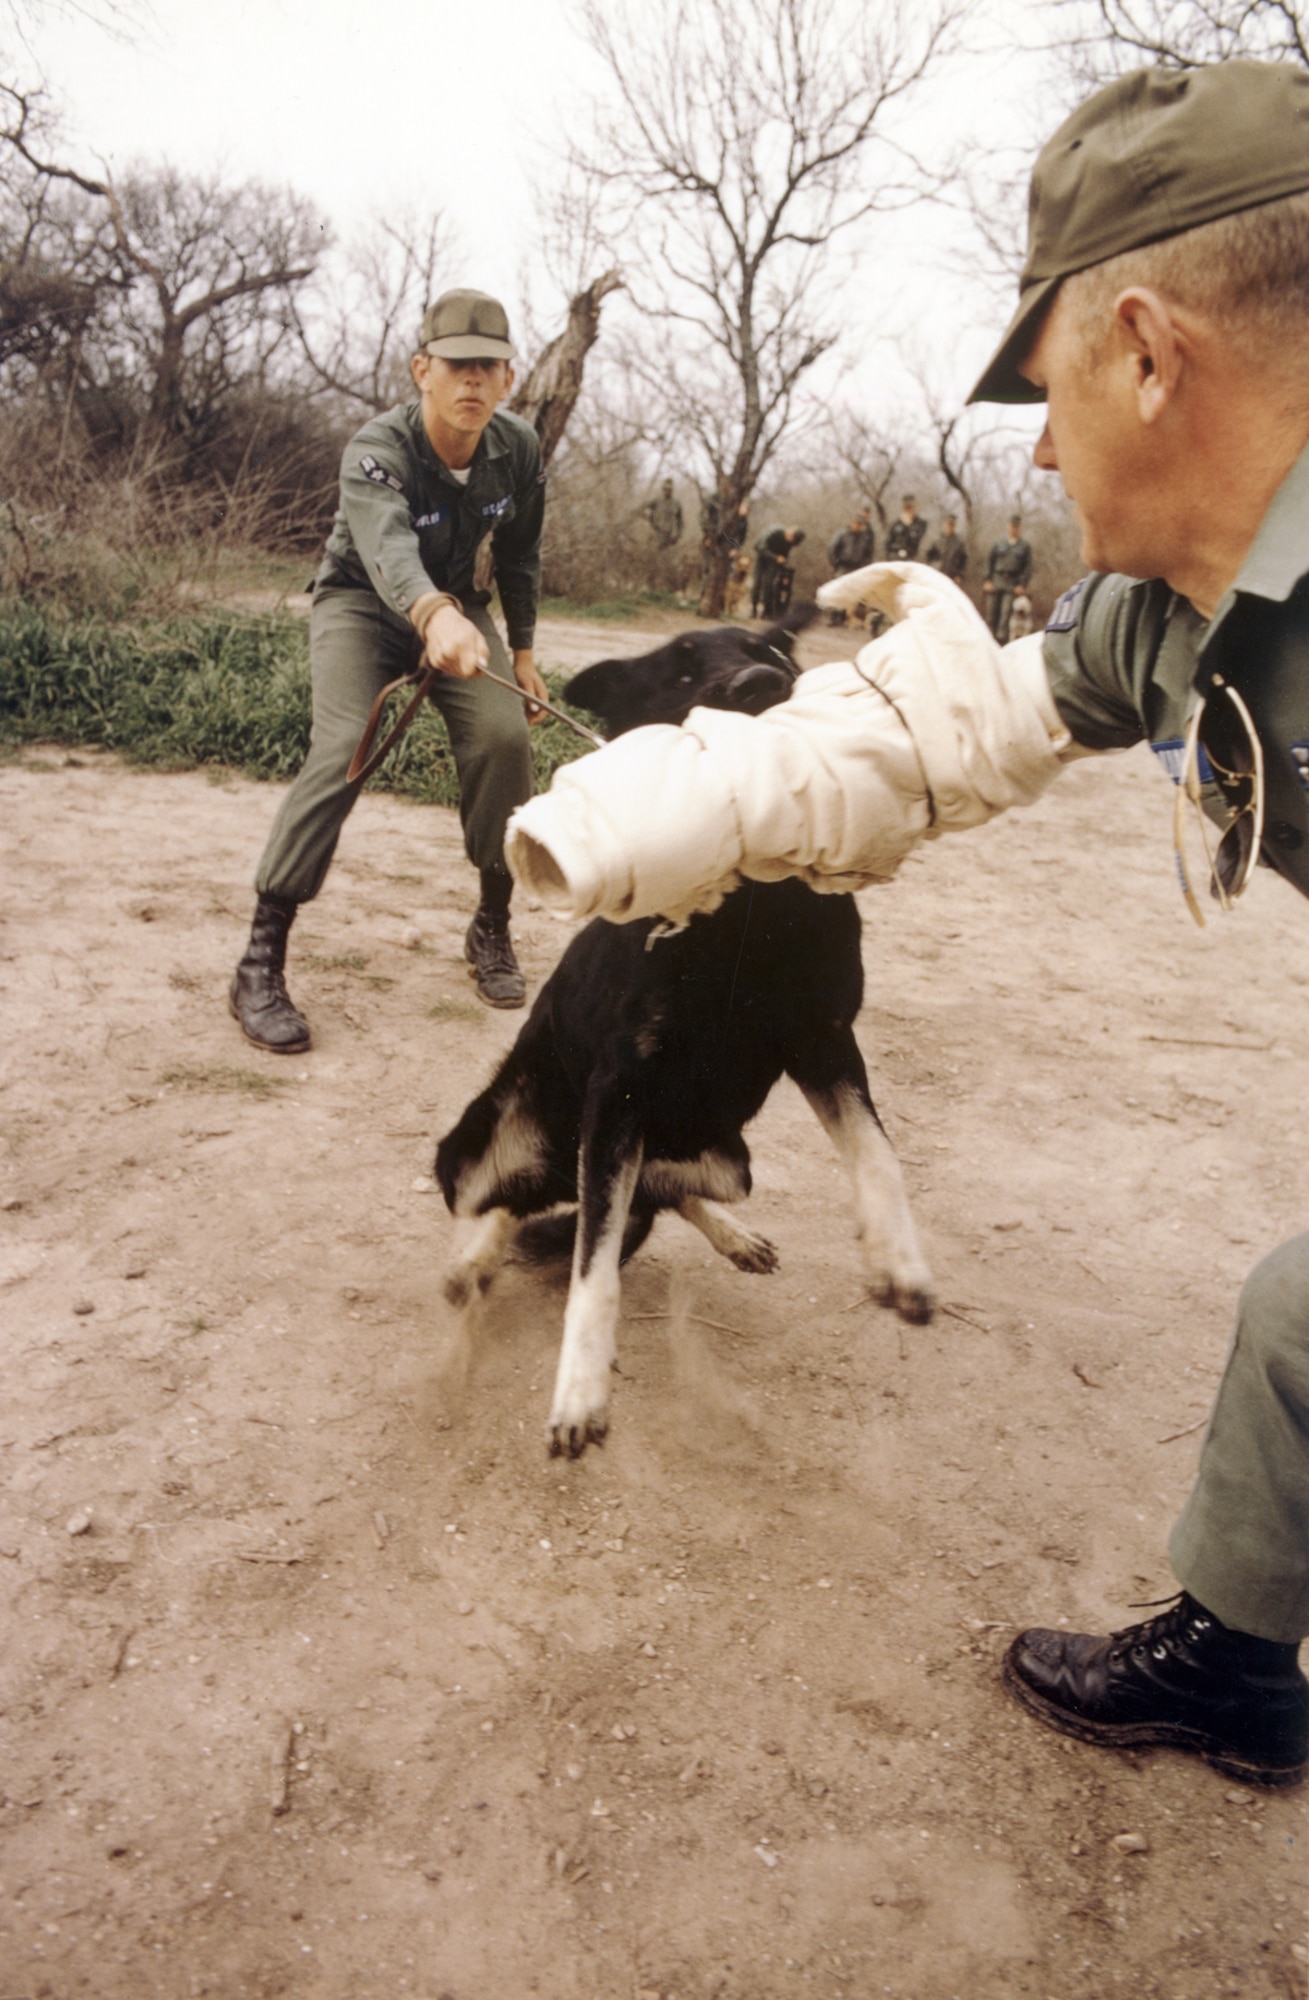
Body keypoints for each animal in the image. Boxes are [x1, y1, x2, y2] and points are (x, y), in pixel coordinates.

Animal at [436, 604, 936, 1456]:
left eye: (776, 656)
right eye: (678, 671)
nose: (761, 682)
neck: (747, 911)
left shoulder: (825, 1041)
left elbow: (876, 1154)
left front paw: (898, 1263)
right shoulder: (619, 1090)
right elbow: (592, 1265)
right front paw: (579, 1391)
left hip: (727, 1159)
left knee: (652, 1192)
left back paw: (731, 1234)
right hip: (478, 1144)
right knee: (519, 1200)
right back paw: (478, 1256)